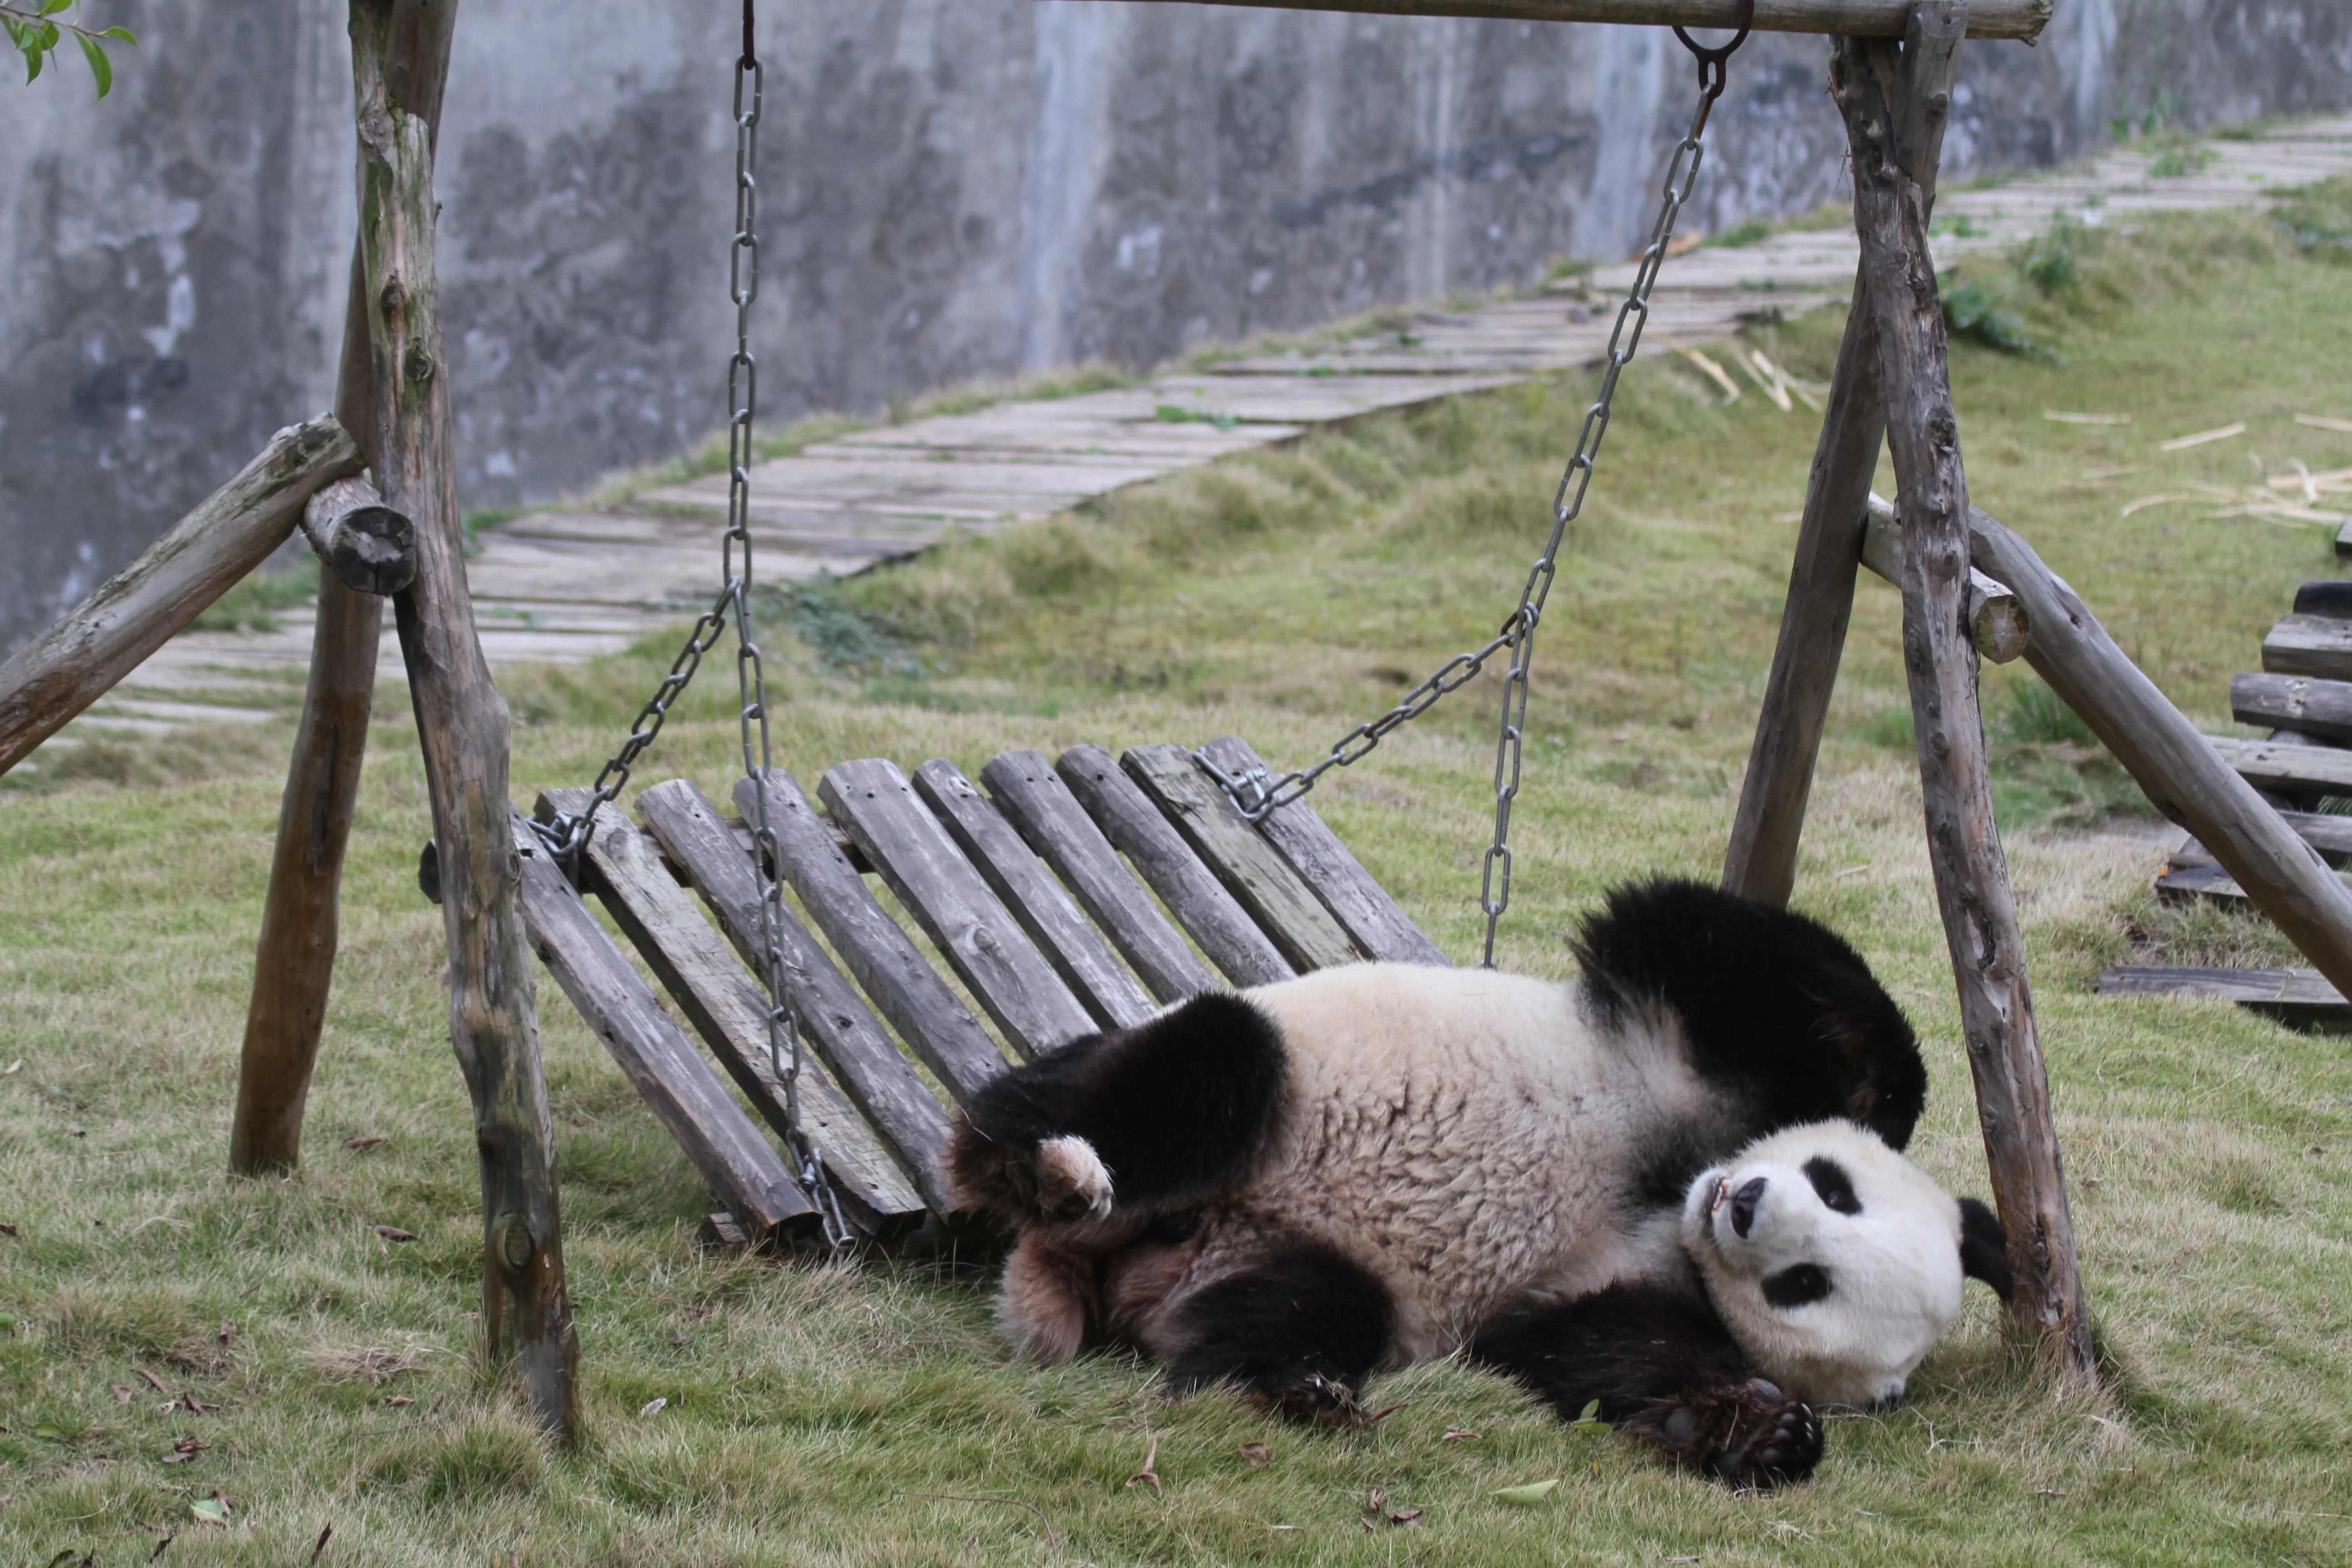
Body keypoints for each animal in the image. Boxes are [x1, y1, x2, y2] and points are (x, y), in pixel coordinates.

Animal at [948, 877, 2014, 1487]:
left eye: (1803, 1285)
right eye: (1835, 1188)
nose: (1745, 1206)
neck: (1667, 1206)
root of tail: (1091, 1265)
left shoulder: (1615, 1290)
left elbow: (1579, 1353)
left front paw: (1757, 1432)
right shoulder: (1687, 1048)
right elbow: (1703, 939)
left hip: (1274, 1262)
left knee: (1293, 1311)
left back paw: (1294, 1390)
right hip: (1260, 1084)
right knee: (1203, 1069)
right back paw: (1043, 1168)